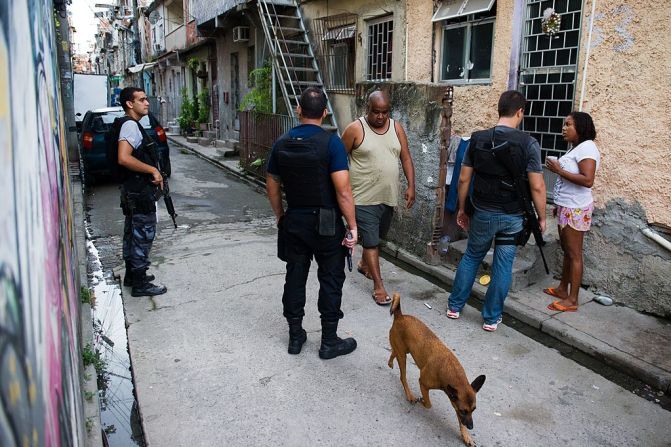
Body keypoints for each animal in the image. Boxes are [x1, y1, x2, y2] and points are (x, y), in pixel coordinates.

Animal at [388, 294, 488, 447]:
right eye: (463, 410)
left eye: (474, 410)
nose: (471, 427)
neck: (452, 372)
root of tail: (400, 315)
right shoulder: (423, 383)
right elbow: (429, 404)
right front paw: (423, 401)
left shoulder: (455, 399)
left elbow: (460, 422)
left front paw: (466, 435)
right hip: (403, 357)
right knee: (402, 377)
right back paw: (410, 395)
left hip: (403, 351)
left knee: (394, 351)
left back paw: (390, 362)